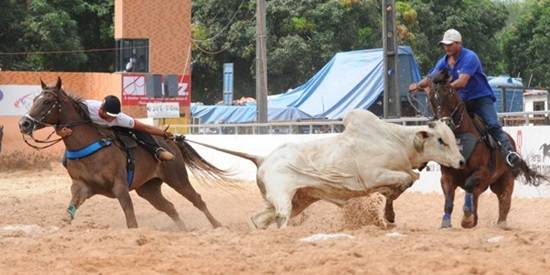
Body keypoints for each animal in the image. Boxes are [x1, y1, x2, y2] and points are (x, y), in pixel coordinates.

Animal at [18, 77, 231, 229]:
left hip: (177, 179)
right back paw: (184, 230)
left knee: (197, 200)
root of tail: (172, 143)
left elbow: (130, 218)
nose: (24, 123)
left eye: (47, 102)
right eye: (35, 99)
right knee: (169, 207)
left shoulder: (119, 186)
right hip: (148, 189)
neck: (88, 146)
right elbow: (68, 215)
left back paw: (218, 226)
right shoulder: (81, 187)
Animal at [190, 109, 466, 229]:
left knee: (258, 219)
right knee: (280, 218)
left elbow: (410, 179)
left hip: (297, 199)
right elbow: (407, 179)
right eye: (441, 140)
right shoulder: (372, 176)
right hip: (283, 198)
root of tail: (263, 158)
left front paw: (389, 213)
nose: (462, 162)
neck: (396, 140)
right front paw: (388, 213)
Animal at [426, 69, 548, 229]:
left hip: (506, 179)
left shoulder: (482, 172)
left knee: (504, 200)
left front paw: (467, 218)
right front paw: (446, 223)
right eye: (431, 99)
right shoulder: (446, 175)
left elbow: (469, 185)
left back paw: (501, 223)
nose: (444, 124)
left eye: (449, 93)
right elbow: (448, 200)